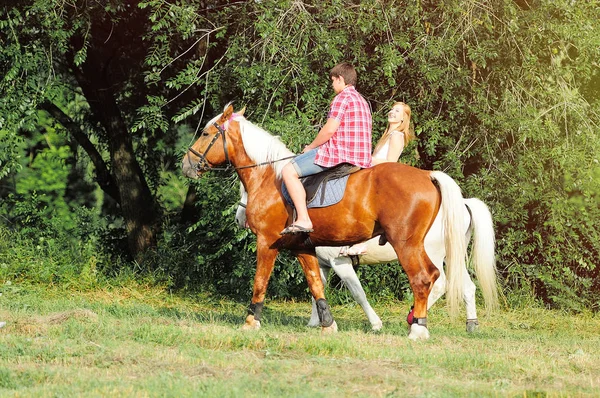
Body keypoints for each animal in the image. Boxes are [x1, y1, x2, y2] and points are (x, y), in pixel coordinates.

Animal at [236, 184, 496, 332]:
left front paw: (375, 323)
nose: (240, 218)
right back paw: (471, 324)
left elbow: (357, 292)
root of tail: (462, 203)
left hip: (432, 253)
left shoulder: (339, 263)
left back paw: (413, 317)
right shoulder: (322, 263)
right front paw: (317, 322)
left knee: (438, 283)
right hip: (452, 256)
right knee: (466, 286)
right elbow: (316, 288)